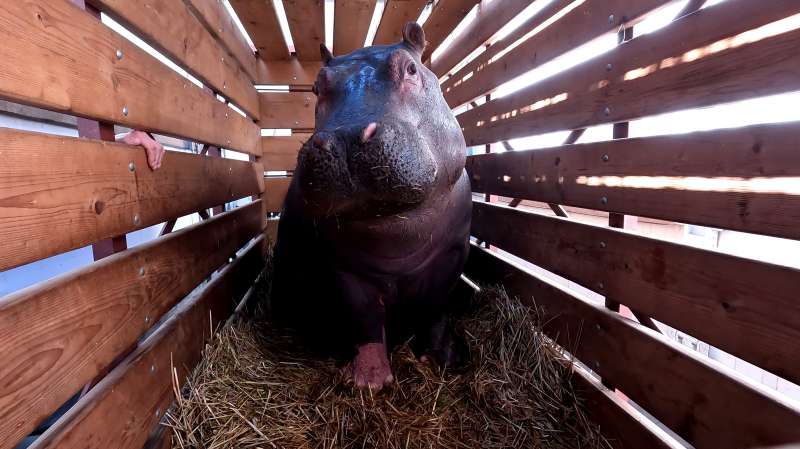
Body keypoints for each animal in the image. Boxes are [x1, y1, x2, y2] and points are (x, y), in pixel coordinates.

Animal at [270, 22, 468, 390]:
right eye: (317, 86)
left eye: (410, 68)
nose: (344, 137)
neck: (395, 230)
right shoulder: (342, 265)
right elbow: (363, 316)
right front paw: (367, 381)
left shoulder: (454, 251)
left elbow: (436, 306)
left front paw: (438, 359)